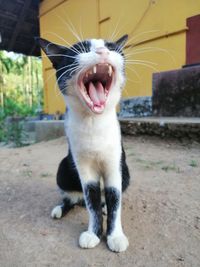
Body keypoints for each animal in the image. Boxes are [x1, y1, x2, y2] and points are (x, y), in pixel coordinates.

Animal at [39, 35, 130, 253]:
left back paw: (104, 207)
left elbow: (115, 201)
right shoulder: (83, 166)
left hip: (127, 171)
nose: (102, 51)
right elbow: (91, 201)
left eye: (111, 47)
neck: (93, 123)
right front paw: (93, 234)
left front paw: (115, 236)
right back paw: (60, 209)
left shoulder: (115, 163)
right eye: (80, 49)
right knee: (73, 199)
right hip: (63, 168)